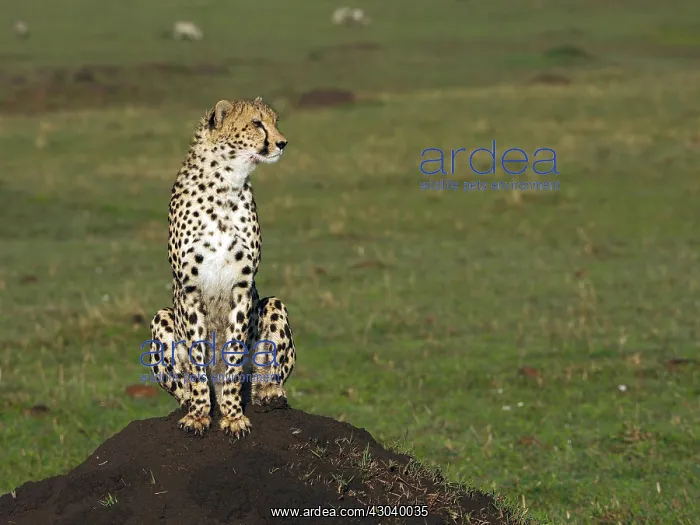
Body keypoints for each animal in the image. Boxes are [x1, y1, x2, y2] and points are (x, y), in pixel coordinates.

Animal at [148, 97, 296, 439]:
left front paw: (232, 417)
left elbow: (234, 353)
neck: (226, 182)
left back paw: (269, 393)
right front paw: (199, 416)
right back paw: (191, 402)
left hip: (274, 304)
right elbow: (197, 356)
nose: (282, 143)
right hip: (161, 317)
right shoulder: (189, 290)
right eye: (256, 123)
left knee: (262, 378)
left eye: (274, 121)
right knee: (182, 386)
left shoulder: (242, 286)